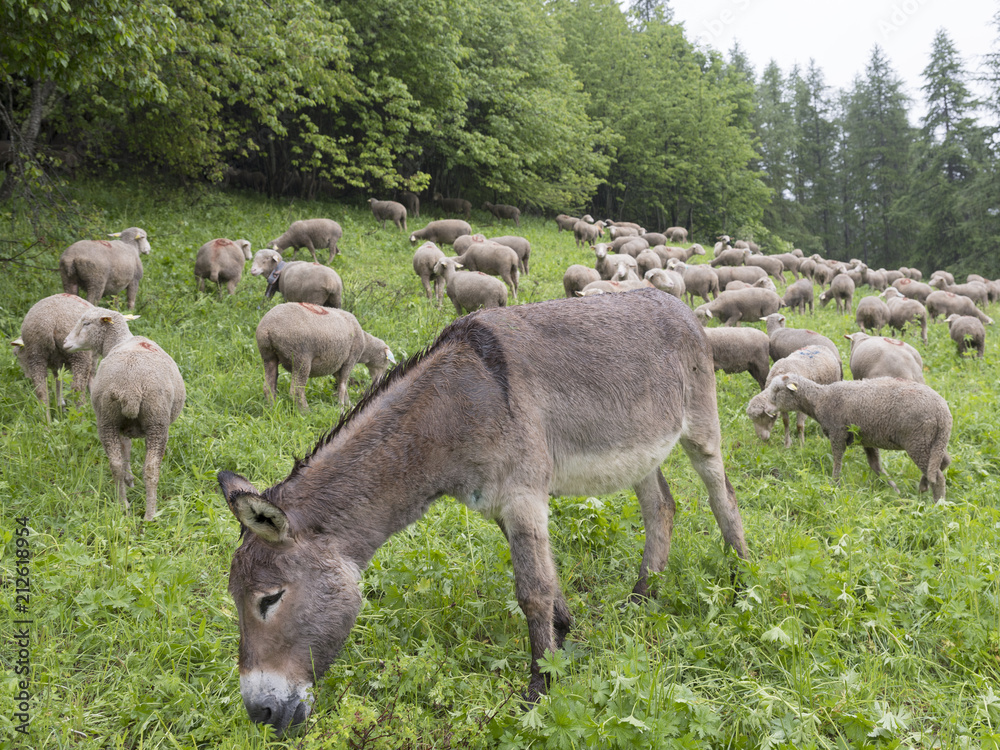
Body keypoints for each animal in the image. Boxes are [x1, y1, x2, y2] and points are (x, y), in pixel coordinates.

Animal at [12, 294, 98, 422]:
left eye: (19, 356)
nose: (26, 376)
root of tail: (51, 321)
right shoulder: (93, 360)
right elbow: (91, 381)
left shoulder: (57, 366)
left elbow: (58, 382)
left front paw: (61, 407)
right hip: (80, 355)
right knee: (77, 388)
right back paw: (82, 418)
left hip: (36, 354)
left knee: (41, 391)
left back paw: (47, 423)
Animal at [62, 308, 185, 521]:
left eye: (86, 324)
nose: (64, 343)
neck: (119, 341)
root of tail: (130, 387)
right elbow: (127, 447)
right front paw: (131, 479)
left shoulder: (122, 426)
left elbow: (125, 448)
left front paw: (129, 479)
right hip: (157, 421)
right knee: (151, 468)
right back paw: (150, 514)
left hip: (108, 419)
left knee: (116, 465)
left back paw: (124, 506)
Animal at [256, 303, 395, 411]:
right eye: (386, 362)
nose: (380, 382)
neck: (365, 345)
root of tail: (267, 328)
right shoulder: (349, 360)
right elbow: (343, 386)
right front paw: (341, 408)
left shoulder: (337, 365)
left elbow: (342, 386)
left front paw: (349, 405)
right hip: (300, 357)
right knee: (296, 390)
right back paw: (306, 412)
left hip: (268, 356)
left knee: (268, 387)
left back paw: (273, 409)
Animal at [764, 373, 951, 500]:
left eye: (777, 390)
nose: (766, 409)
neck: (819, 399)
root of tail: (944, 413)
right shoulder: (867, 438)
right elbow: (875, 466)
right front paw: (894, 490)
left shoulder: (837, 432)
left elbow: (837, 461)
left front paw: (834, 485)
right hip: (933, 441)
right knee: (942, 463)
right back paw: (923, 486)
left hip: (918, 441)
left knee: (938, 477)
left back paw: (938, 504)